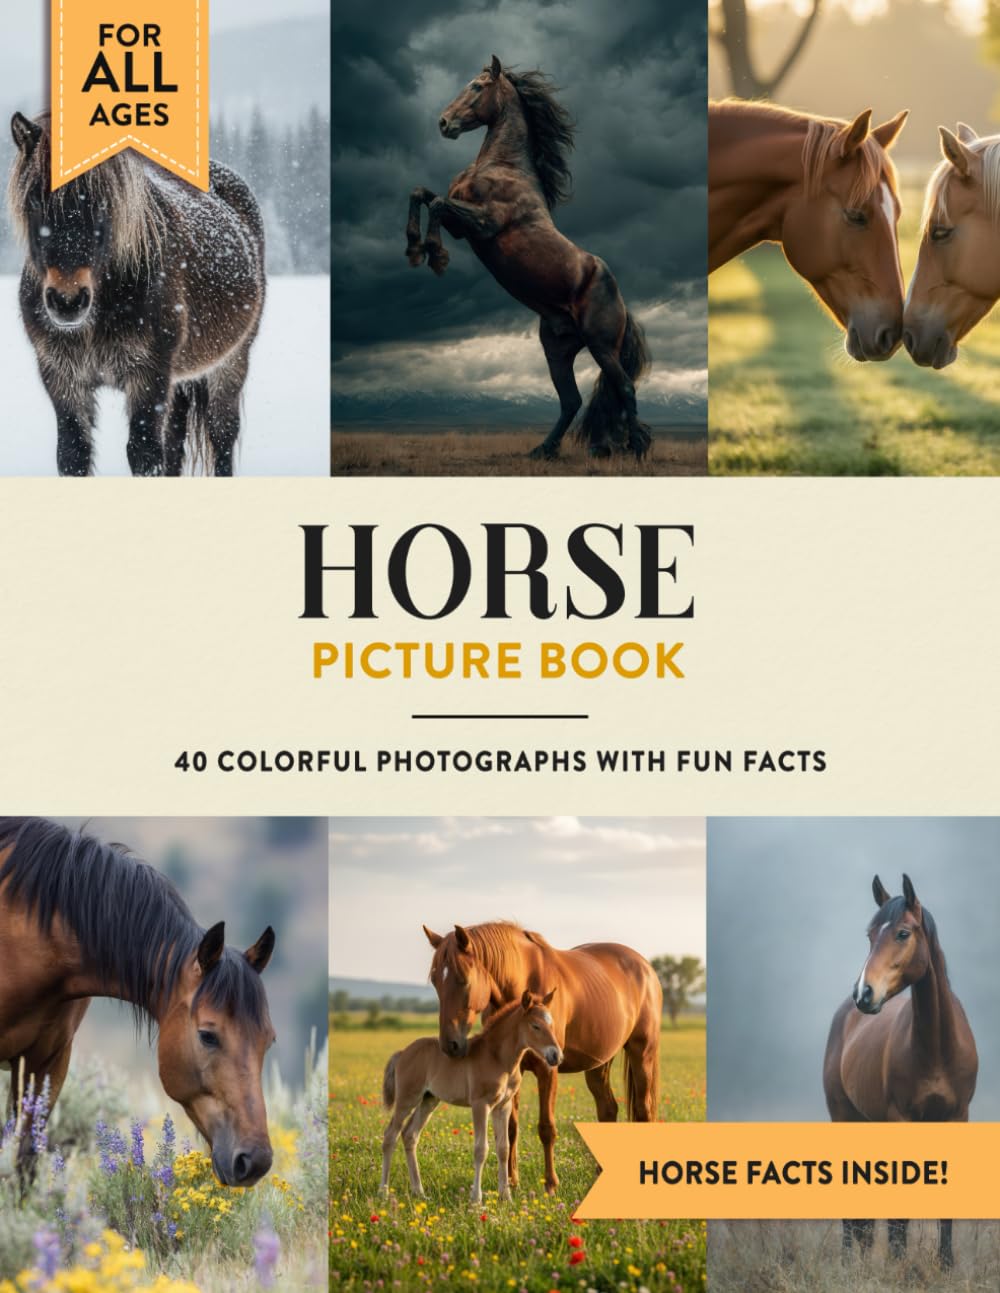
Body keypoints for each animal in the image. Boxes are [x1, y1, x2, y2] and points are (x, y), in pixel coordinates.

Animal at [8, 112, 266, 476]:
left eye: (101, 200)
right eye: (33, 199)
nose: (67, 302)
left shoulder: (149, 376)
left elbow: (144, 455)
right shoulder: (61, 377)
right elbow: (73, 455)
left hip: (232, 361)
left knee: (222, 435)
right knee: (175, 440)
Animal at [380, 989, 561, 1203]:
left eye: (552, 1024)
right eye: (535, 1026)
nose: (556, 1056)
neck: (498, 1058)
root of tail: (402, 1053)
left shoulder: (503, 1106)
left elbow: (503, 1148)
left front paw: (506, 1197)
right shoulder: (480, 1104)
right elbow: (481, 1149)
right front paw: (476, 1199)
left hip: (429, 1100)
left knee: (410, 1135)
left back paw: (419, 1192)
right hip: (407, 1098)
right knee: (390, 1136)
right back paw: (383, 1191)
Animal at [405, 56, 652, 462]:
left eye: (477, 86)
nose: (443, 123)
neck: (504, 167)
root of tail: (622, 304)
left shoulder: (483, 225)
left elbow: (438, 203)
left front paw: (434, 255)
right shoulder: (462, 225)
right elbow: (422, 193)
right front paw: (413, 246)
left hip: (601, 345)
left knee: (624, 389)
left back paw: (633, 448)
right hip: (557, 350)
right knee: (572, 401)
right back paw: (547, 449)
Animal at [422, 921, 661, 1195]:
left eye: (463, 978)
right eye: (434, 981)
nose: (450, 1046)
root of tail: (645, 967)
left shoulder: (548, 1069)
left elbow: (546, 1128)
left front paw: (550, 1185)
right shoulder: (511, 1071)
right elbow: (510, 1129)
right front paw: (511, 1181)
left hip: (642, 1054)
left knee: (644, 1111)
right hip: (599, 1064)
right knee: (608, 1110)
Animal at [823, 874, 978, 1269]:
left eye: (903, 933)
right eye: (870, 934)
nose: (864, 993)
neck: (937, 1049)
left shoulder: (957, 1119)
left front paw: (946, 1265)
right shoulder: (901, 1120)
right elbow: (899, 1211)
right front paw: (898, 1265)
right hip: (844, 1119)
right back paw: (849, 1261)